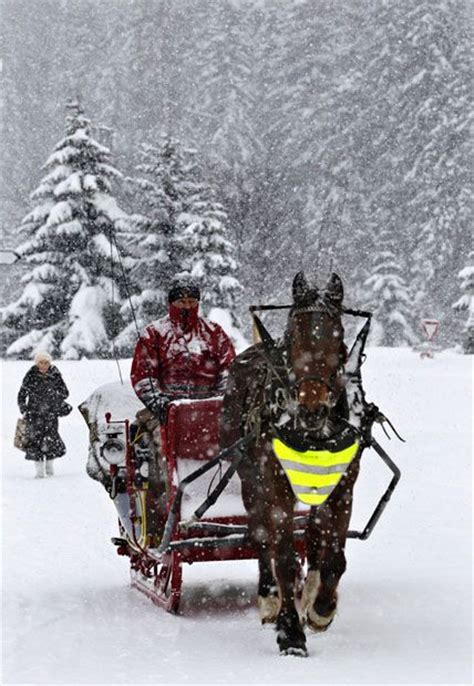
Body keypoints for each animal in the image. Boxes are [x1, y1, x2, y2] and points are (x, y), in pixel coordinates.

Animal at [220, 272, 362, 660]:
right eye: (293, 336)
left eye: (339, 336)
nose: (312, 408)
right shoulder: (274, 487)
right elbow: (281, 556)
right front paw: (291, 632)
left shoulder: (342, 488)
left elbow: (334, 556)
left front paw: (321, 609)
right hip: (250, 482)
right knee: (260, 535)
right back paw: (270, 598)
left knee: (312, 536)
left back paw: (308, 589)